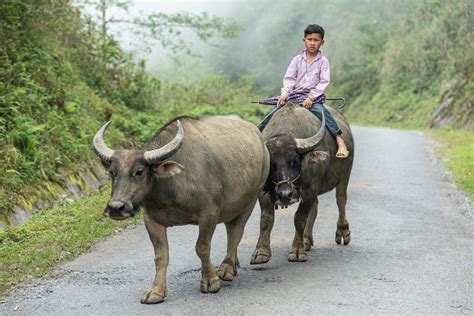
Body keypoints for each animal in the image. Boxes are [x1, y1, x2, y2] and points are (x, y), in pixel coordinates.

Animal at [93, 116, 270, 304]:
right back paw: (233, 264)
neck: (171, 187)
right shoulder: (151, 220)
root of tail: (259, 137)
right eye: (112, 172)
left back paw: (227, 268)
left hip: (251, 199)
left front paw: (210, 281)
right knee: (231, 230)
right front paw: (156, 291)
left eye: (139, 171)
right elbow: (160, 255)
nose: (116, 207)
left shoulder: (208, 214)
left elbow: (202, 248)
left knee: (235, 233)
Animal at [250, 103, 354, 264]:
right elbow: (266, 218)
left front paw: (298, 251)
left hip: (345, 175)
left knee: (341, 200)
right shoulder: (263, 191)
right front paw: (261, 252)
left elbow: (299, 218)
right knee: (315, 206)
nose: (284, 194)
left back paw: (343, 232)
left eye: (294, 161)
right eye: (271, 164)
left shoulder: (310, 189)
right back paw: (306, 240)